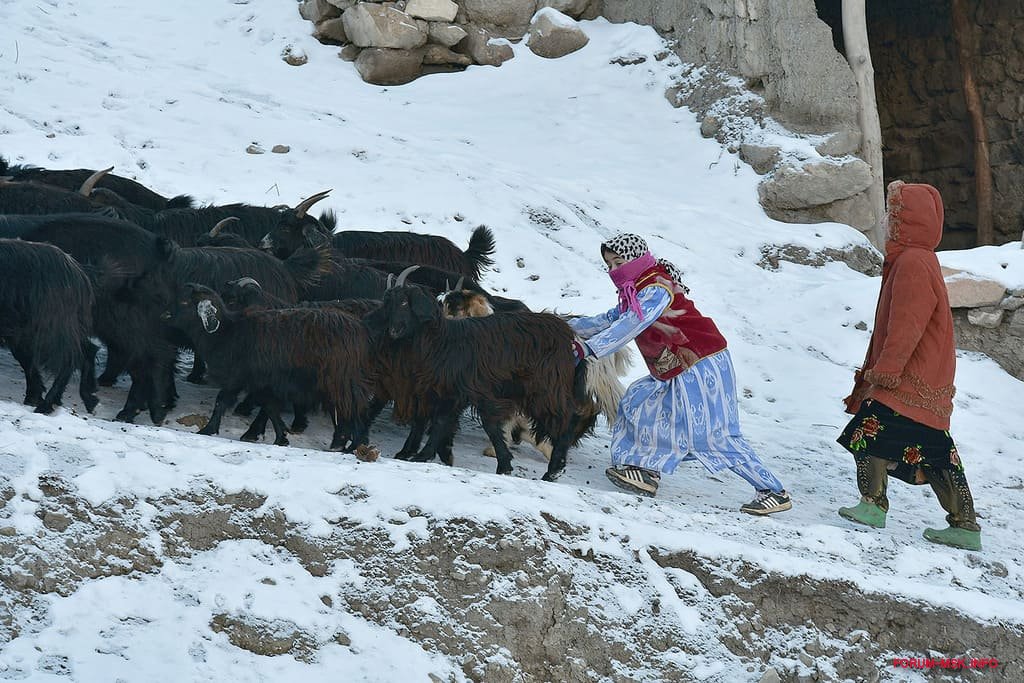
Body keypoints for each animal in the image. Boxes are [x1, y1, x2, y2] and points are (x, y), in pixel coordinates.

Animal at [165, 282, 374, 448]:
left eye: (185, 302)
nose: (164, 314)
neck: (228, 333)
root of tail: (359, 330)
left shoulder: (239, 377)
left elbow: (221, 401)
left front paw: (208, 429)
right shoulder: (263, 384)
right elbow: (271, 408)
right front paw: (281, 437)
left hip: (338, 381)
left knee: (353, 408)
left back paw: (351, 445)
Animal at [364, 276, 585, 481]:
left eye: (403, 302)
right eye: (387, 301)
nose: (370, 321)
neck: (441, 342)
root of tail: (566, 332)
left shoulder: (470, 391)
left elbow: (460, 423)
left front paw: (423, 455)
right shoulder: (452, 393)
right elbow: (449, 423)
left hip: (545, 388)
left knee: (566, 419)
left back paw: (554, 470)